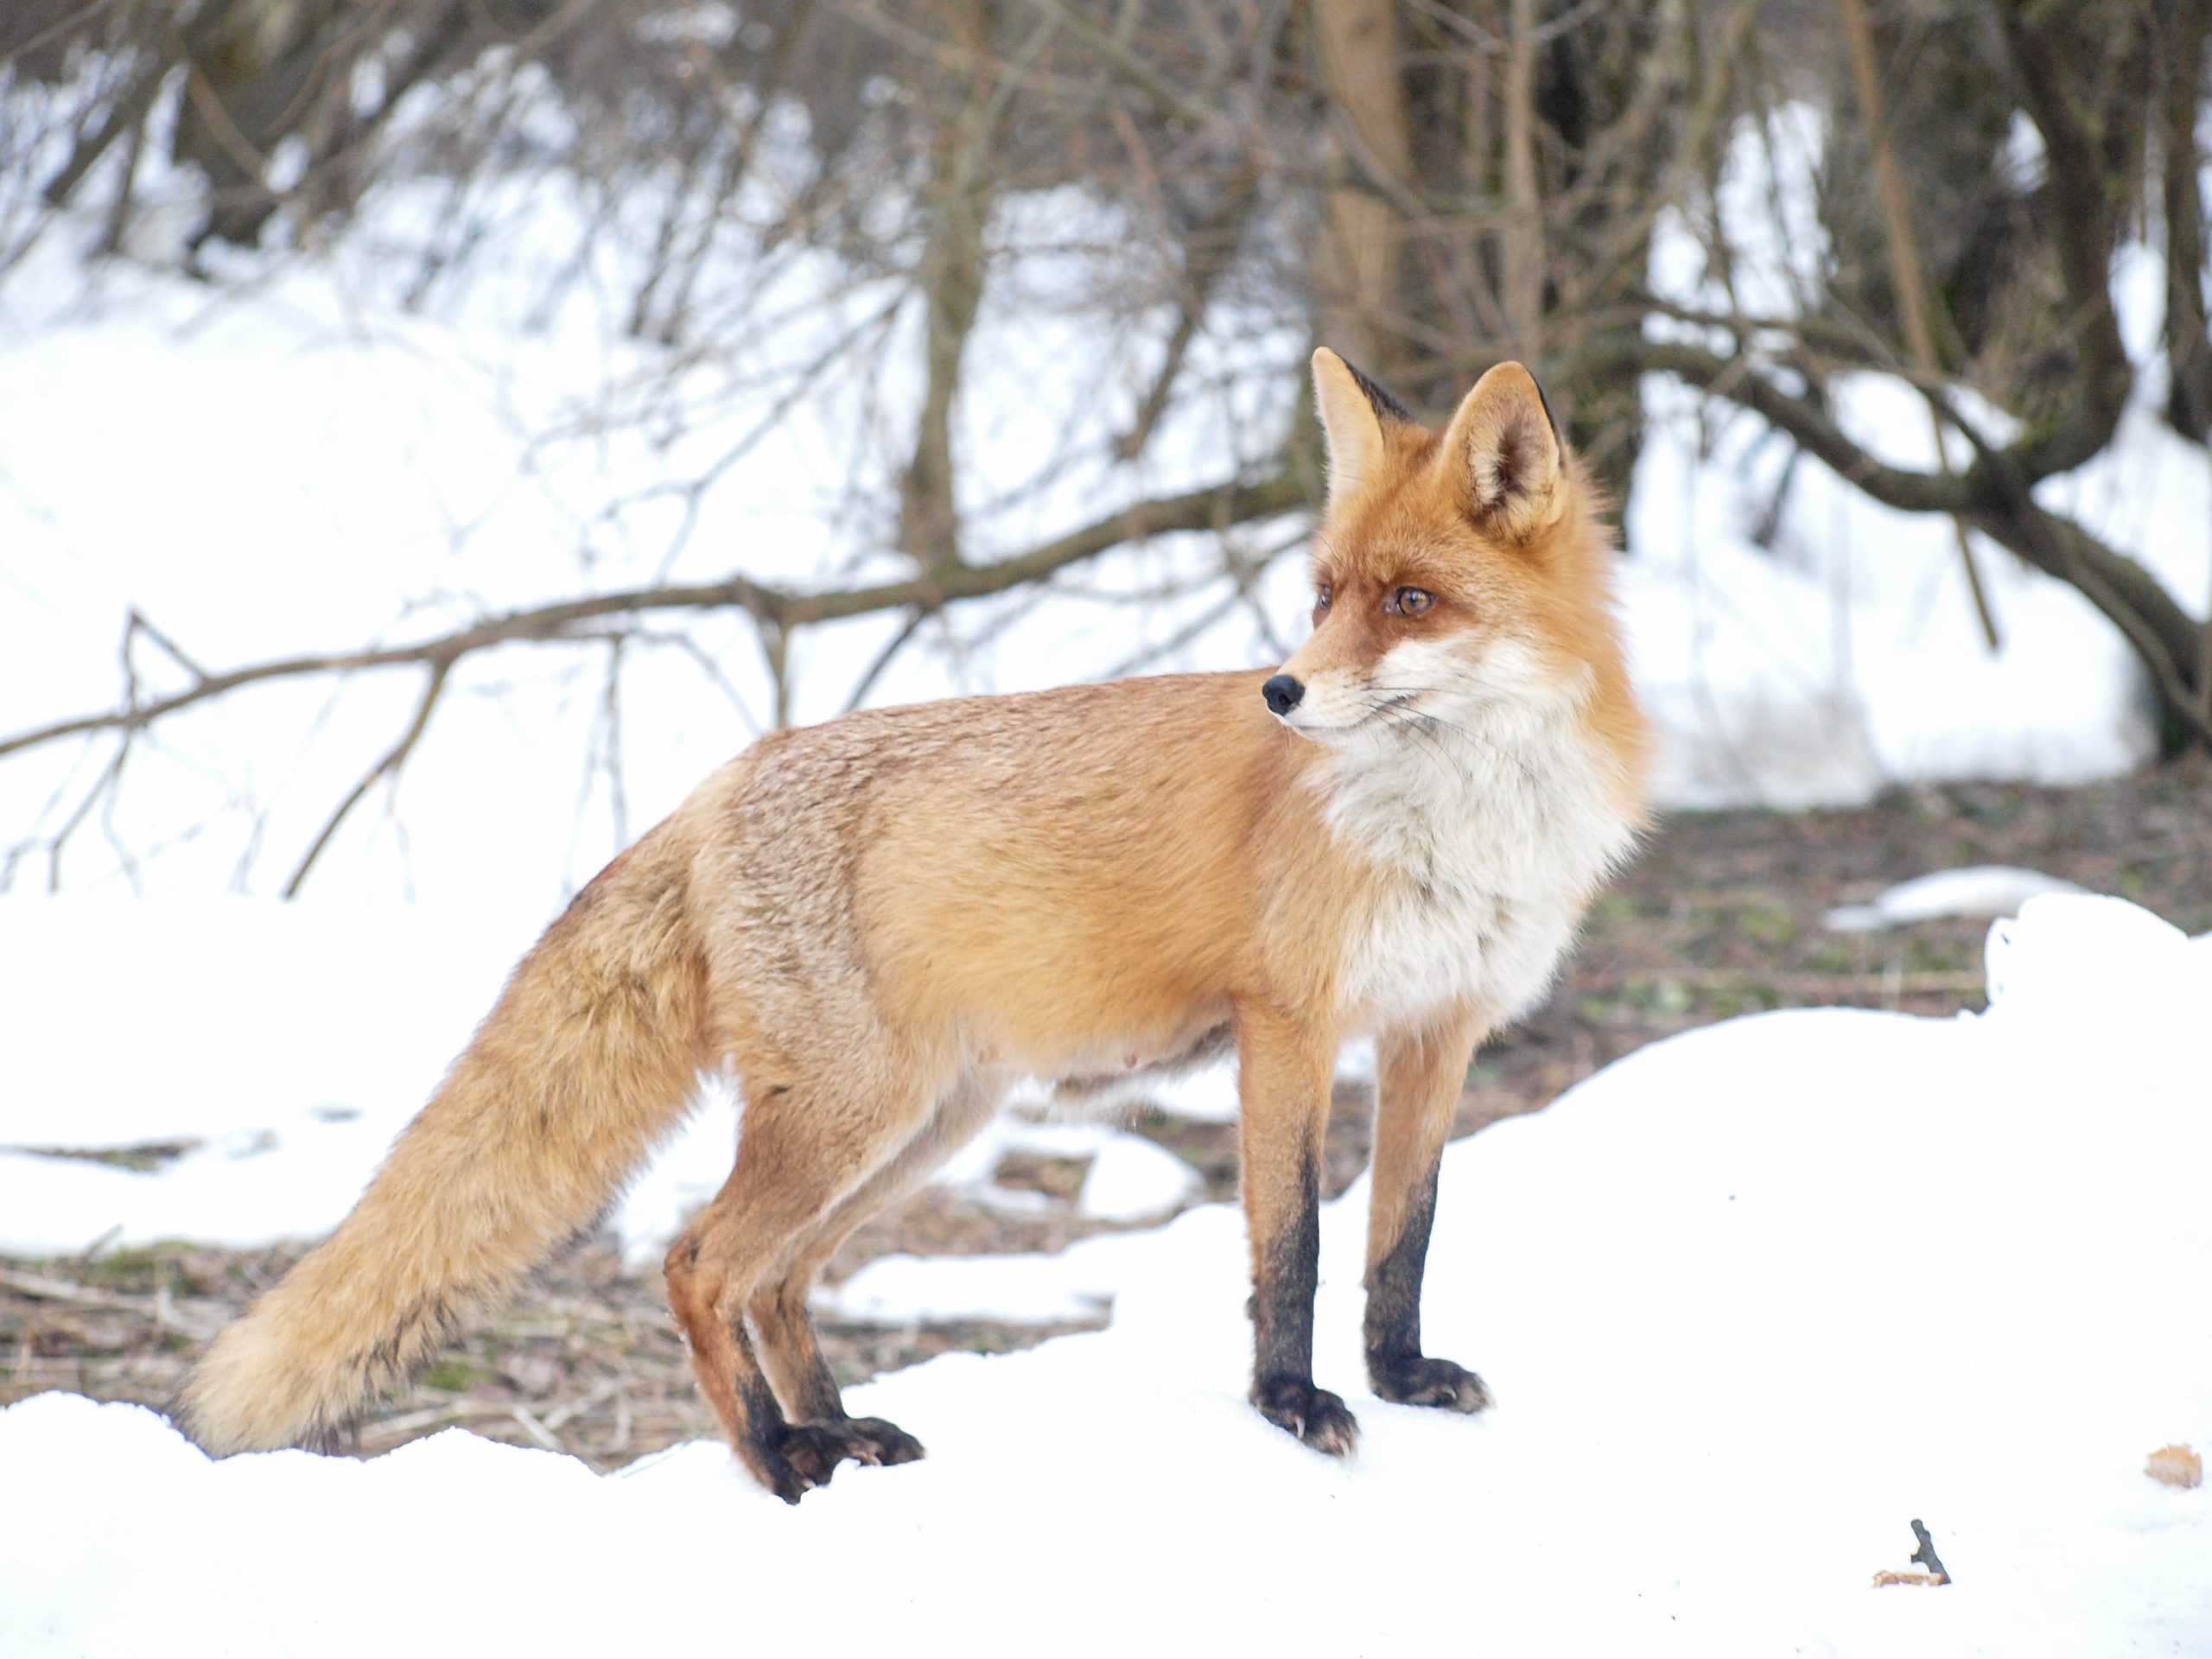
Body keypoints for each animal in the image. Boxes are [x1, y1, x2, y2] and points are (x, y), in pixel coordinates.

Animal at [180, 348, 1649, 1501]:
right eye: (1322, 596)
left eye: (1408, 601)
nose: (1282, 694)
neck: (1458, 827)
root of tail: (722, 780)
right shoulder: (1288, 1027)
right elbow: (1292, 1248)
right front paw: (1291, 1408)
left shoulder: (1438, 1032)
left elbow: (1405, 1235)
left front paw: (1401, 1379)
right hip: (853, 1117)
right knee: (699, 1265)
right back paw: (776, 1461)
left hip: (920, 1128)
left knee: (775, 1282)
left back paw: (838, 1432)